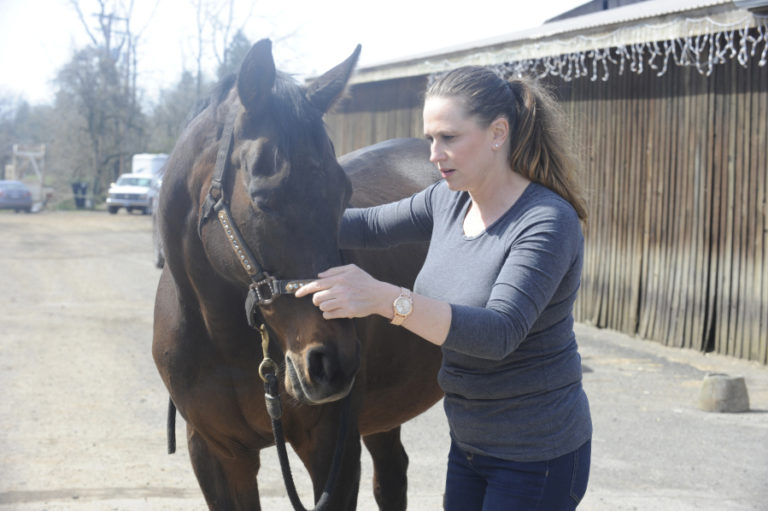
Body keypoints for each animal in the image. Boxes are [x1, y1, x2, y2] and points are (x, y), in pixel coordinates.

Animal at [152, 38, 443, 511]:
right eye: (264, 199)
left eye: (343, 194)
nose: (335, 364)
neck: (222, 341)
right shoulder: (216, 454)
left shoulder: (332, 452)